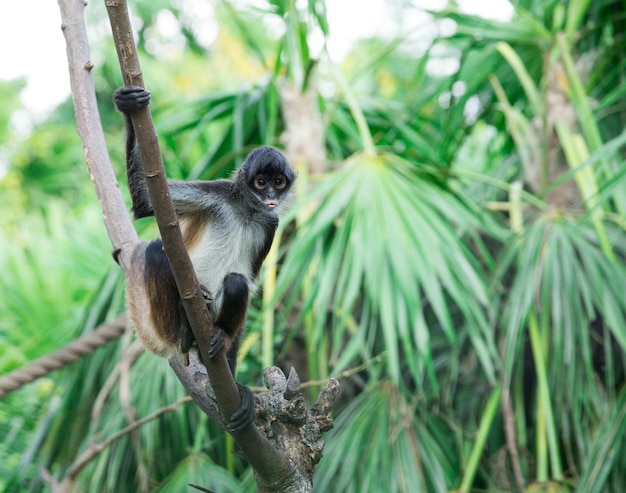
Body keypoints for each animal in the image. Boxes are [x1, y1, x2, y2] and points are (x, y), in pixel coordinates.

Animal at [114, 85, 294, 430]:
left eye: (278, 183)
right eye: (261, 182)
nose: (270, 197)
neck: (247, 210)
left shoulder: (270, 223)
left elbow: (249, 283)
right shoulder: (220, 193)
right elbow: (145, 201)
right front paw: (128, 104)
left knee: (236, 282)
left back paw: (218, 337)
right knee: (156, 249)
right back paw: (185, 328)